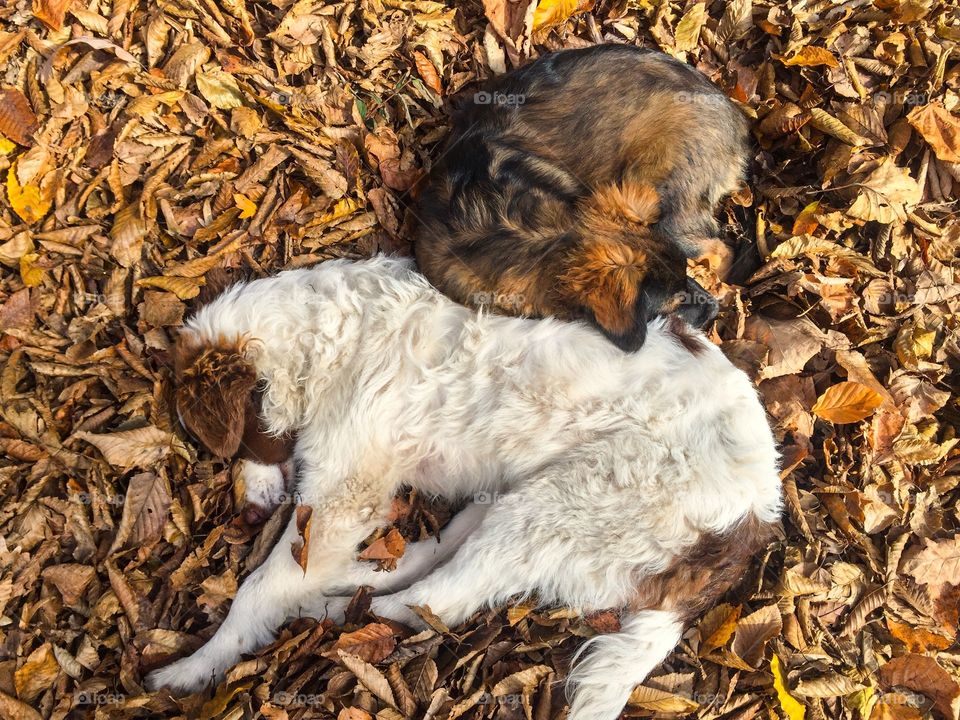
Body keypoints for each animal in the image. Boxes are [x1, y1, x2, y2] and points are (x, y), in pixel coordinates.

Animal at [148, 255, 780, 720]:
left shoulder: (345, 493)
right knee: (432, 560)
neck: (325, 337)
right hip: (517, 500)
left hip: (563, 503)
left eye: (235, 444)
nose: (249, 517)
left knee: (434, 602)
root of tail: (754, 519)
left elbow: (258, 587)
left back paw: (331, 608)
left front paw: (194, 668)